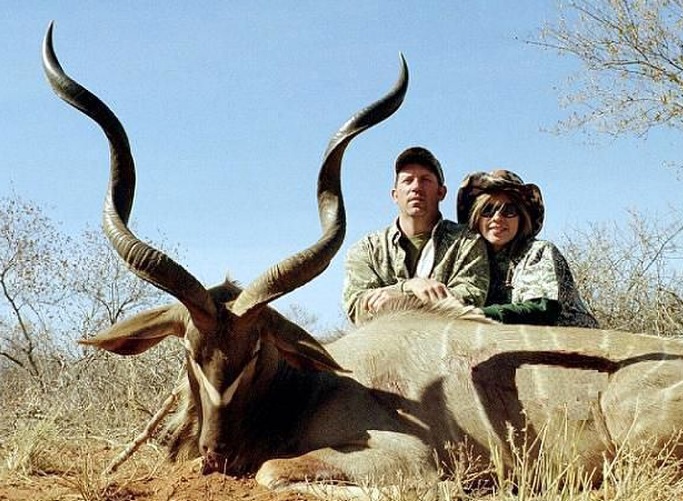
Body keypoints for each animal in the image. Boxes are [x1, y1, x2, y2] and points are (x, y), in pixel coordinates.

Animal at [43, 22, 683, 499]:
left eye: (257, 350)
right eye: (191, 352)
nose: (216, 455)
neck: (315, 384)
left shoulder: (403, 456)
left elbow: (275, 472)